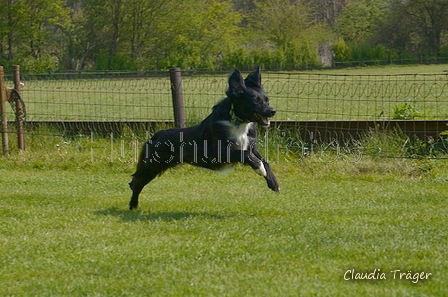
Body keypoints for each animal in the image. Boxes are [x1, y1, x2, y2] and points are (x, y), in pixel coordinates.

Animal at [128, 66, 278, 209]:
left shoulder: (251, 146)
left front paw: (273, 182)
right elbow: (246, 155)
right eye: (255, 101)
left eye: (267, 100)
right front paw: (260, 169)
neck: (238, 123)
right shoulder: (218, 152)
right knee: (135, 182)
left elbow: (264, 161)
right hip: (153, 164)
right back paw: (133, 205)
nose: (273, 111)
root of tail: (156, 136)